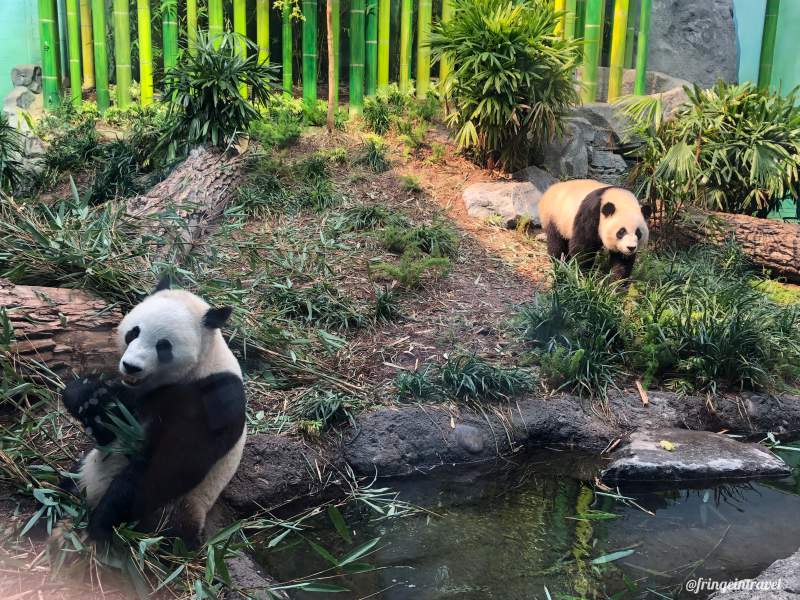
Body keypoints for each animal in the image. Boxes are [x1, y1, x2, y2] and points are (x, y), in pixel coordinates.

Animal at [62, 278, 245, 548]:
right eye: (134, 332)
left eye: (164, 346)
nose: (131, 366)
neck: (201, 365)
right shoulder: (136, 395)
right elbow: (108, 428)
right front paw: (88, 398)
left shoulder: (215, 399)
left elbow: (168, 465)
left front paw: (101, 524)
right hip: (83, 470)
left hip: (173, 513)